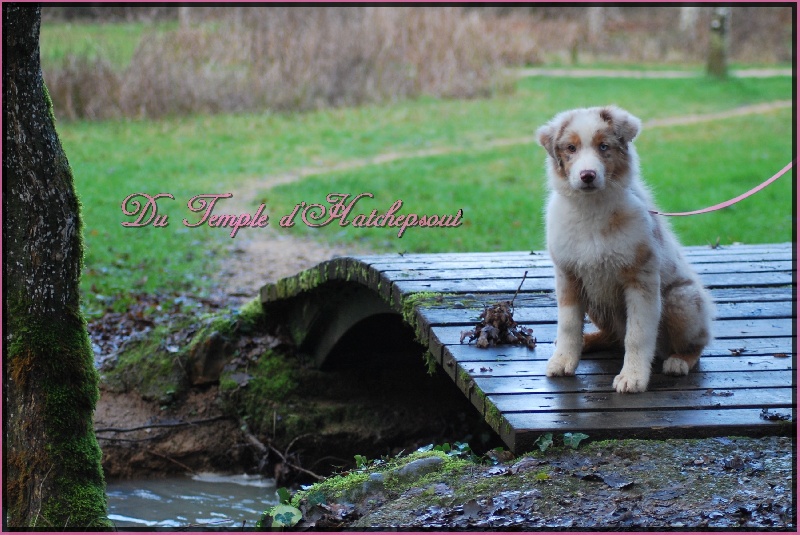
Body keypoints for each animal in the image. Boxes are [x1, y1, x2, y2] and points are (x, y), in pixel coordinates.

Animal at [536, 107, 712, 396]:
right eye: (571, 148)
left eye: (603, 147)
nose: (587, 175)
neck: (592, 209)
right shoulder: (568, 275)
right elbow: (569, 325)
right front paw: (563, 361)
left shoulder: (641, 279)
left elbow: (637, 335)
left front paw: (632, 378)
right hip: (595, 297)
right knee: (612, 336)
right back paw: (588, 340)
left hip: (681, 299)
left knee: (696, 344)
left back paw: (678, 361)